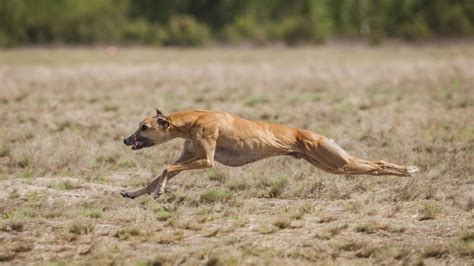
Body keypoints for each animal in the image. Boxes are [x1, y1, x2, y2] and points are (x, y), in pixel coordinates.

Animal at [121, 109, 414, 198]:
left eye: (144, 127)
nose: (126, 139)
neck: (193, 120)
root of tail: (319, 135)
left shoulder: (205, 160)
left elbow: (166, 168)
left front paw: (160, 192)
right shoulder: (189, 157)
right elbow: (158, 175)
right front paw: (134, 193)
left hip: (338, 163)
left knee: (376, 166)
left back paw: (409, 170)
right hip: (331, 164)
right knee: (375, 163)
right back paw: (407, 170)